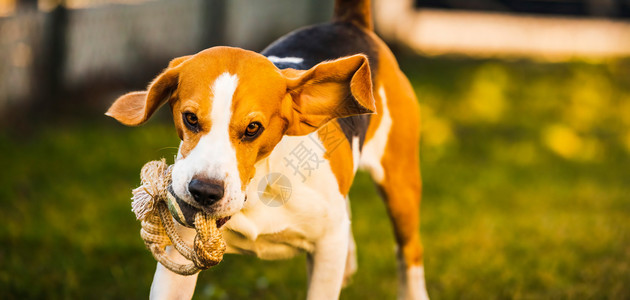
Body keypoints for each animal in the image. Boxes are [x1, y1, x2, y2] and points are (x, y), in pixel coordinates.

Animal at [107, 0, 430, 298]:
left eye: (253, 128)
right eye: (190, 118)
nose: (204, 192)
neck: (258, 188)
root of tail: (350, 23)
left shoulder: (328, 247)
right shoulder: (179, 258)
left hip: (400, 186)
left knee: (410, 252)